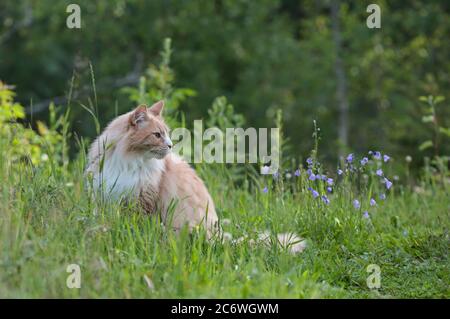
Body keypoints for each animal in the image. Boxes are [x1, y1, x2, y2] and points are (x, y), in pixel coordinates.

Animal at [86, 101, 220, 239]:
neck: (125, 162)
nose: (170, 145)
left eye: (167, 134)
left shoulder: (141, 202)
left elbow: (136, 229)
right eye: (157, 135)